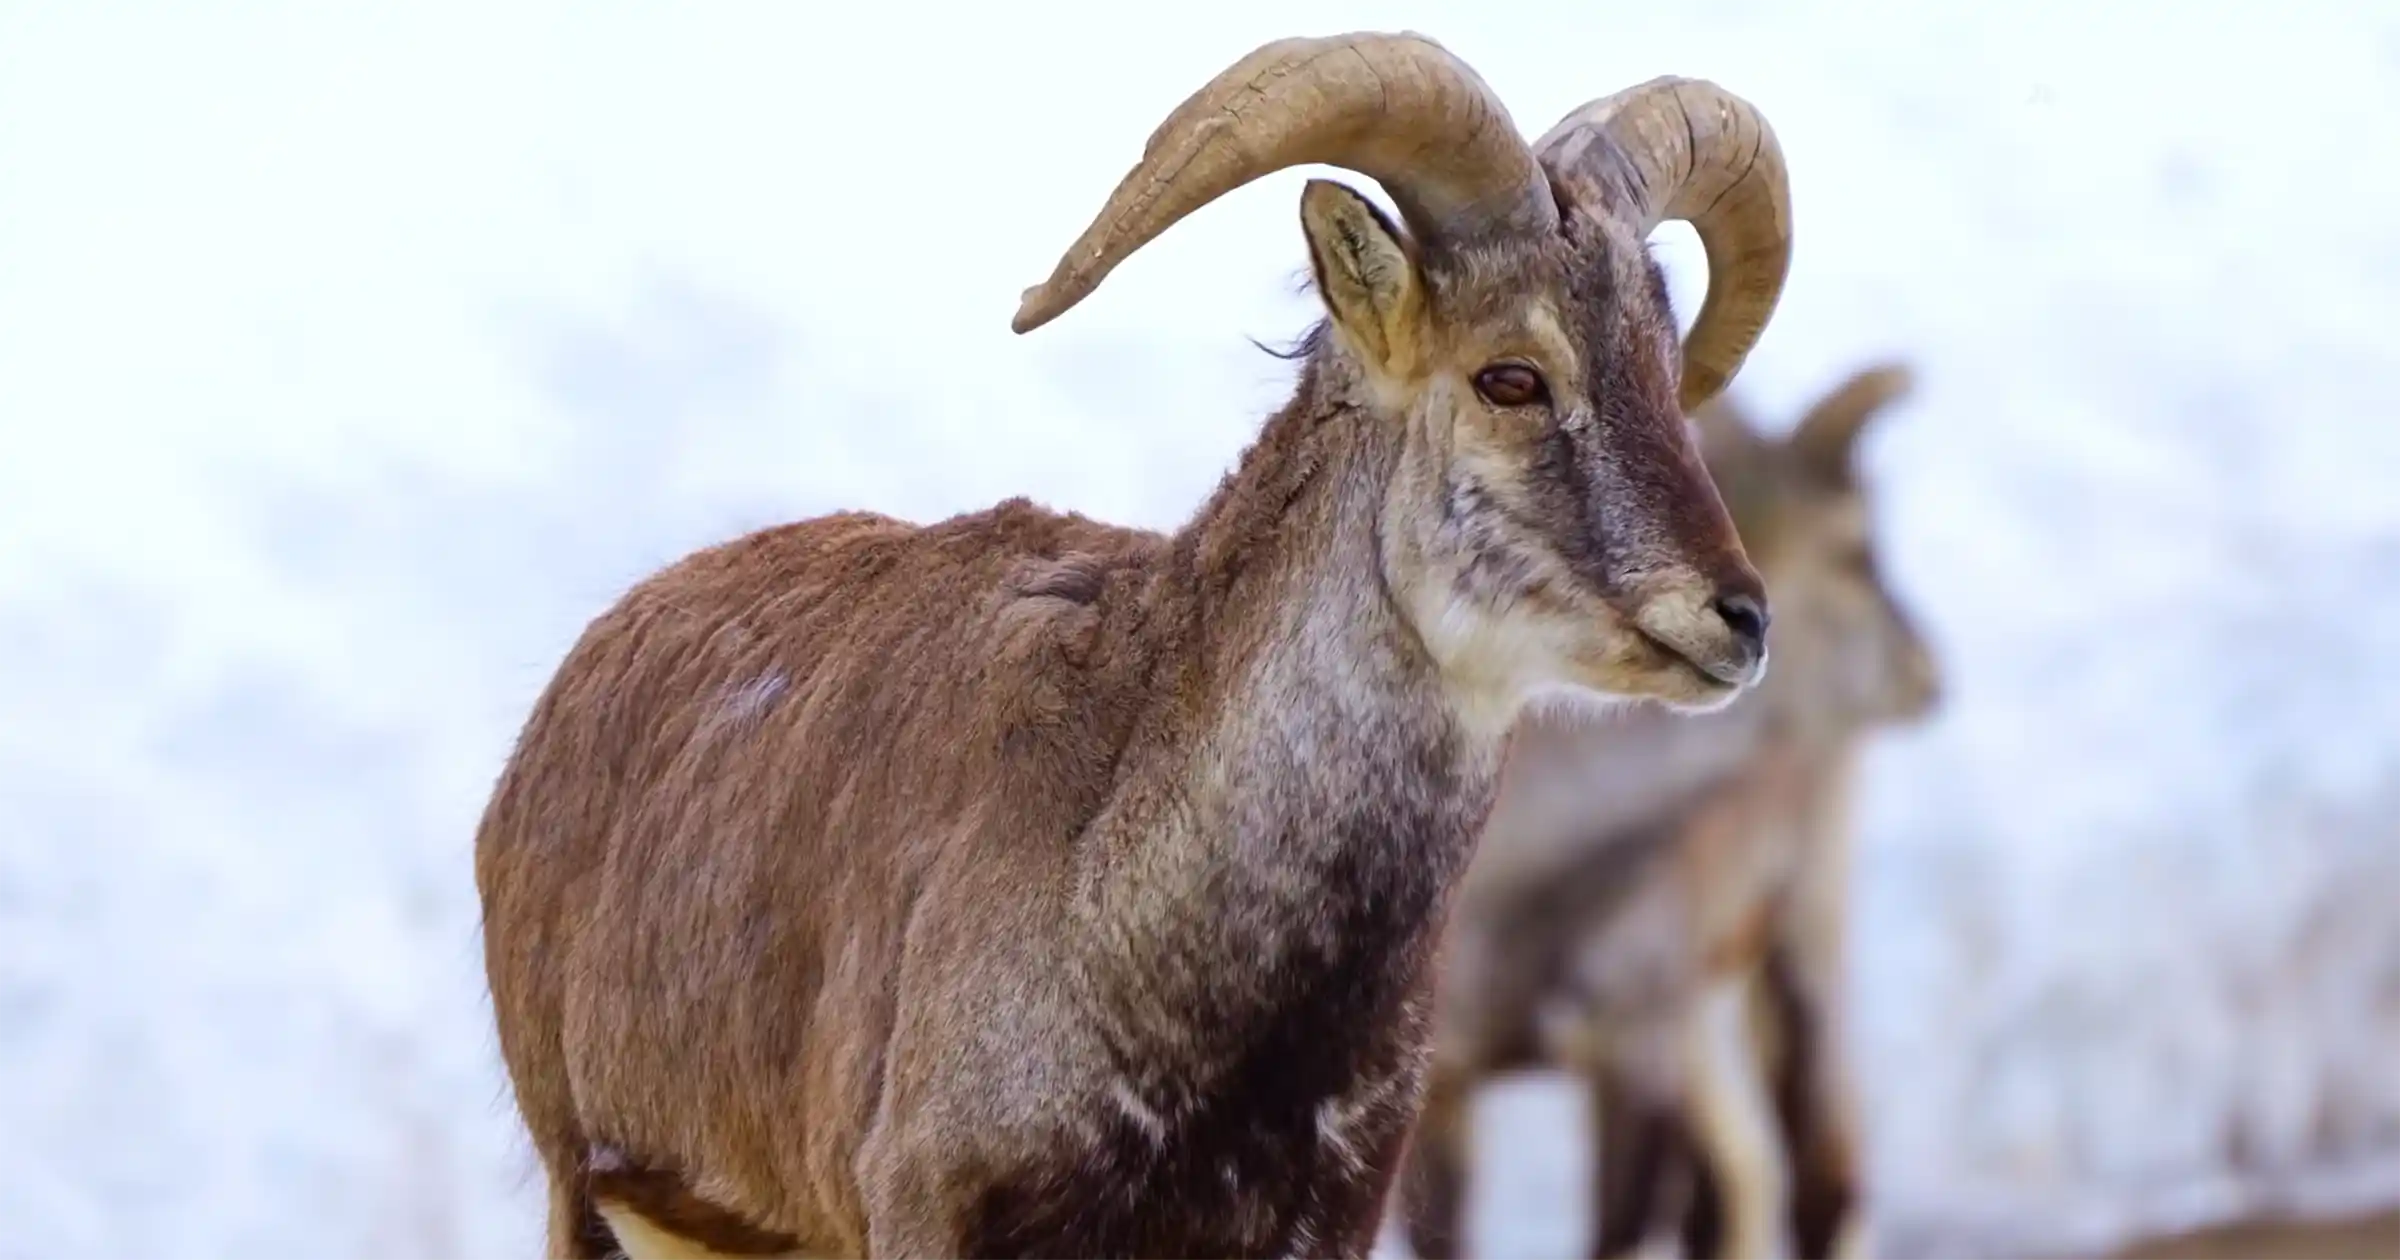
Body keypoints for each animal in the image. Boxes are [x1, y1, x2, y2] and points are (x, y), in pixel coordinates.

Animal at [1397, 366, 1941, 1260]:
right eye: (1853, 548)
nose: (1926, 673)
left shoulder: (1635, 1039)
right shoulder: (1444, 1077)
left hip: (1802, 925)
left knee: (1818, 1171)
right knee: (1740, 1175)